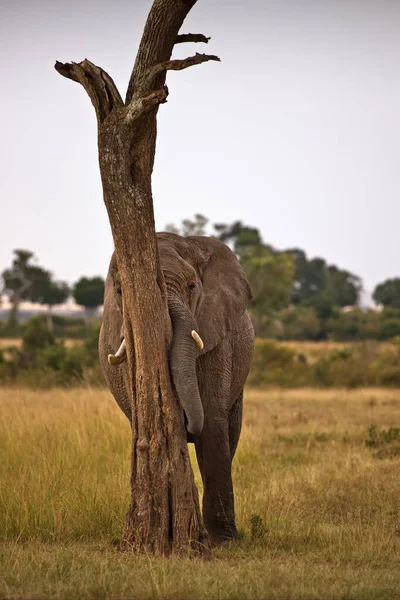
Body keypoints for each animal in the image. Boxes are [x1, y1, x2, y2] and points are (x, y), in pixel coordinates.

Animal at [100, 231, 256, 544]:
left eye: (192, 286)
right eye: (121, 292)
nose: (186, 427)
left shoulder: (217, 337)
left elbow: (212, 423)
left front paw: (223, 541)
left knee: (229, 433)